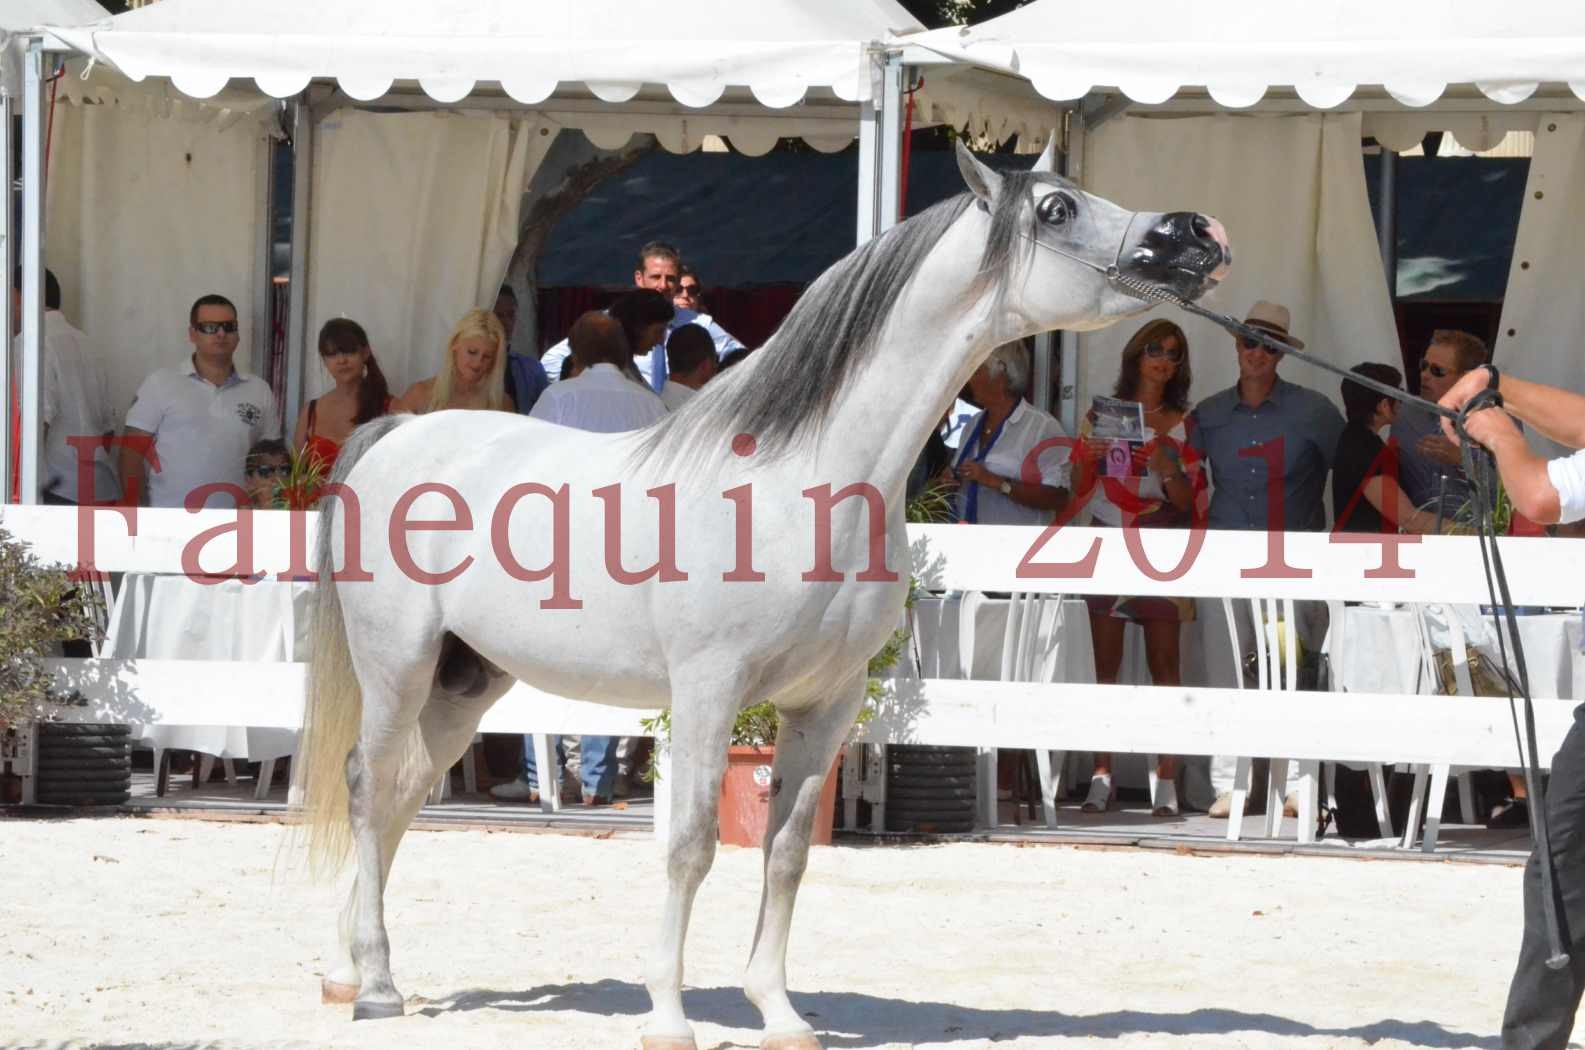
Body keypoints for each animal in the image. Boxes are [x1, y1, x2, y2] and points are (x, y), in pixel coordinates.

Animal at [299, 145, 1236, 1050]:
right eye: (1055, 209)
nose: (1199, 232)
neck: (805, 485)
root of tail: (398, 431)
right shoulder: (707, 692)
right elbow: (689, 845)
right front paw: (668, 1018)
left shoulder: (827, 703)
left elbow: (785, 853)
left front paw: (779, 1014)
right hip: (398, 665)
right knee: (367, 782)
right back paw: (375, 989)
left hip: (466, 681)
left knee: (402, 796)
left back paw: (350, 972)